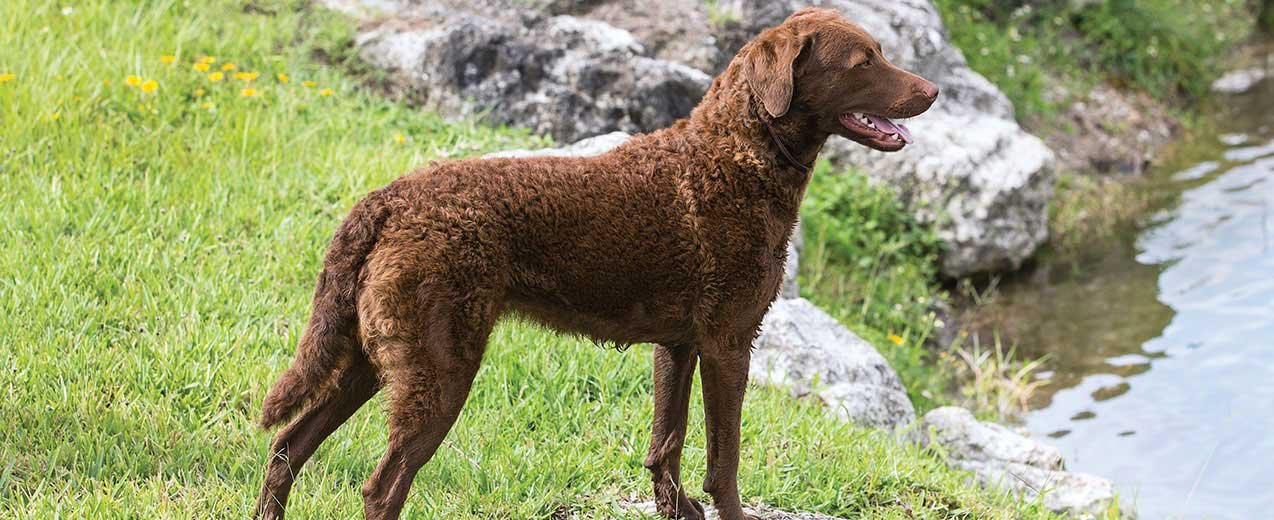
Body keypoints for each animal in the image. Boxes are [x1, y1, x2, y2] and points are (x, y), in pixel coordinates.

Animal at [256, 8, 937, 520]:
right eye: (864, 61)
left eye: (880, 52)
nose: (933, 91)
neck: (734, 158)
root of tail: (388, 199)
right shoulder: (729, 343)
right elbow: (725, 464)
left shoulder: (678, 345)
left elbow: (666, 446)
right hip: (439, 371)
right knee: (380, 488)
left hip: (371, 357)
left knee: (287, 447)